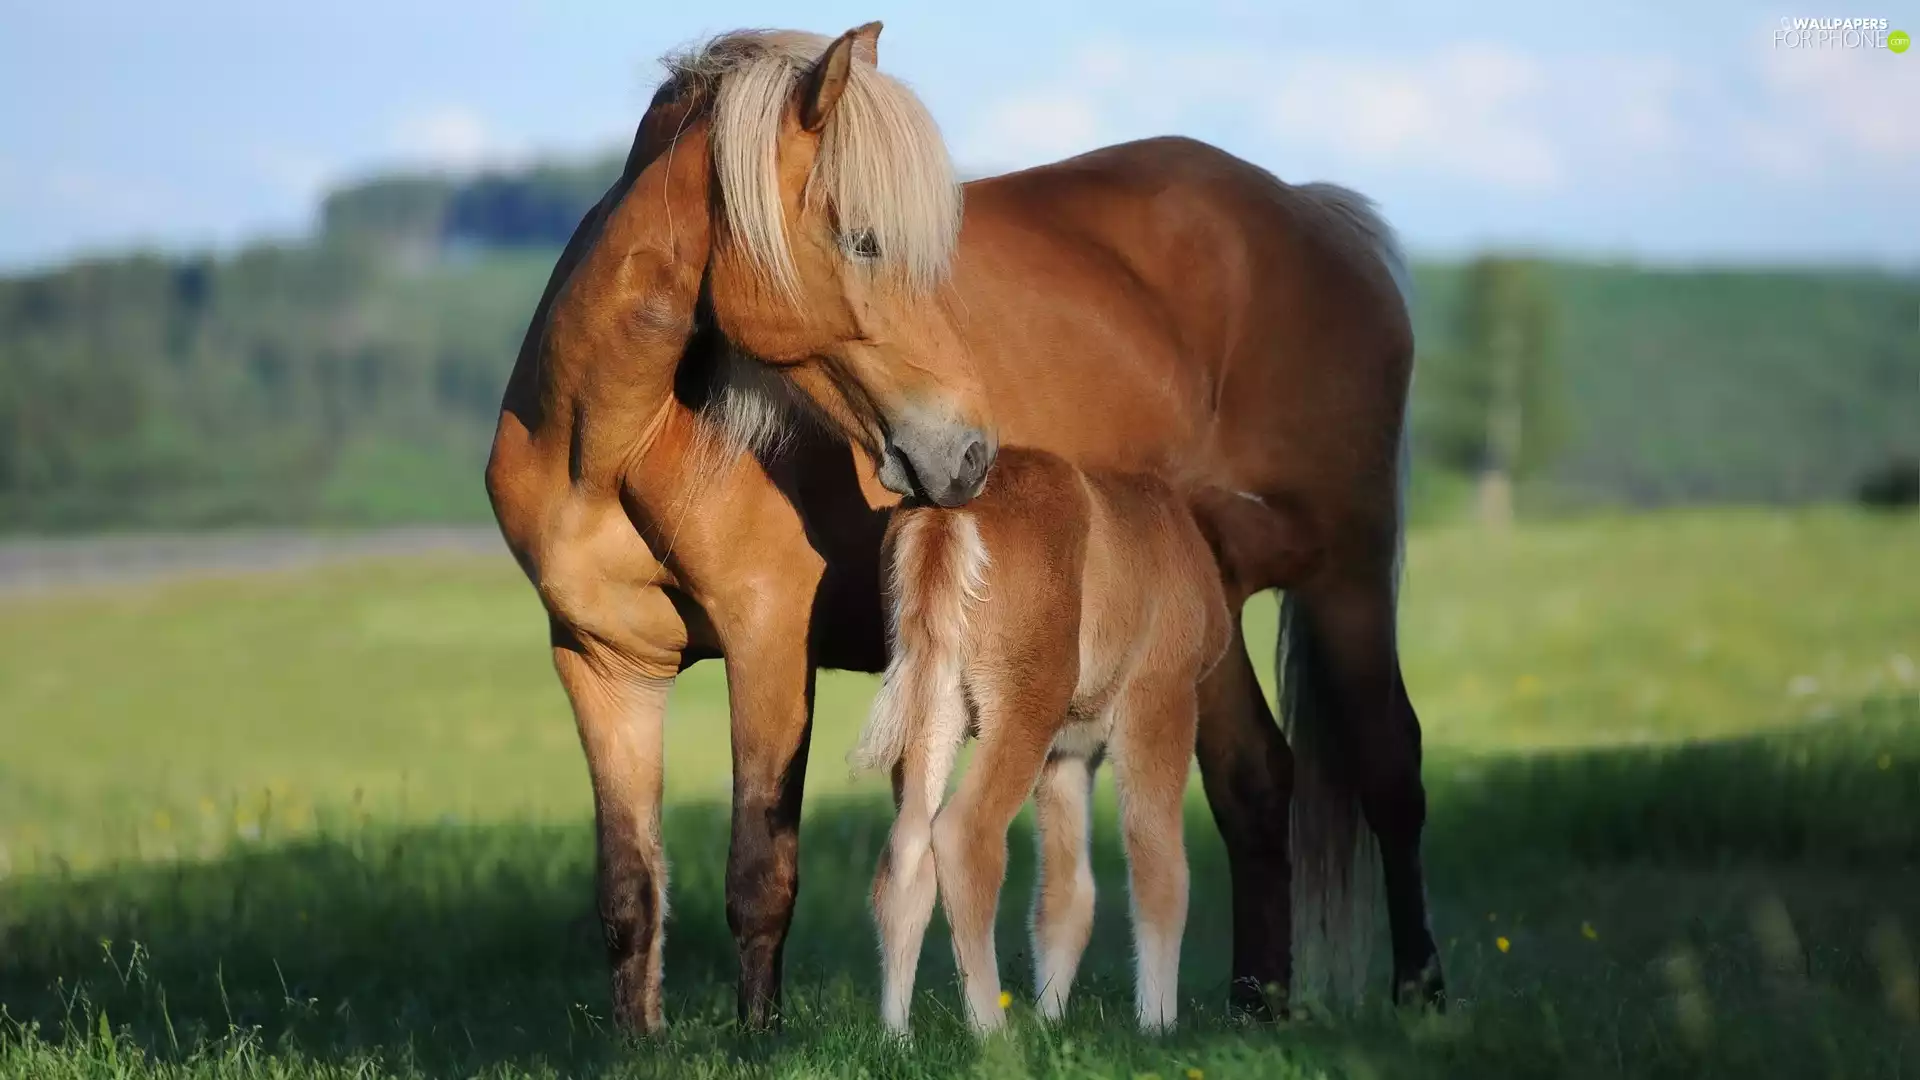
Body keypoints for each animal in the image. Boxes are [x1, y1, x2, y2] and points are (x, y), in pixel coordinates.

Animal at [853, 447, 1232, 1034]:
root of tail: (945, 516)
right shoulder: (1161, 697)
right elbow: (1160, 864)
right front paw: (1157, 1026)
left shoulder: (1067, 753)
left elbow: (1066, 897)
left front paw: (1052, 1022)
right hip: (1025, 706)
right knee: (964, 837)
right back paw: (991, 1031)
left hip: (930, 703)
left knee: (907, 850)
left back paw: (897, 1038)